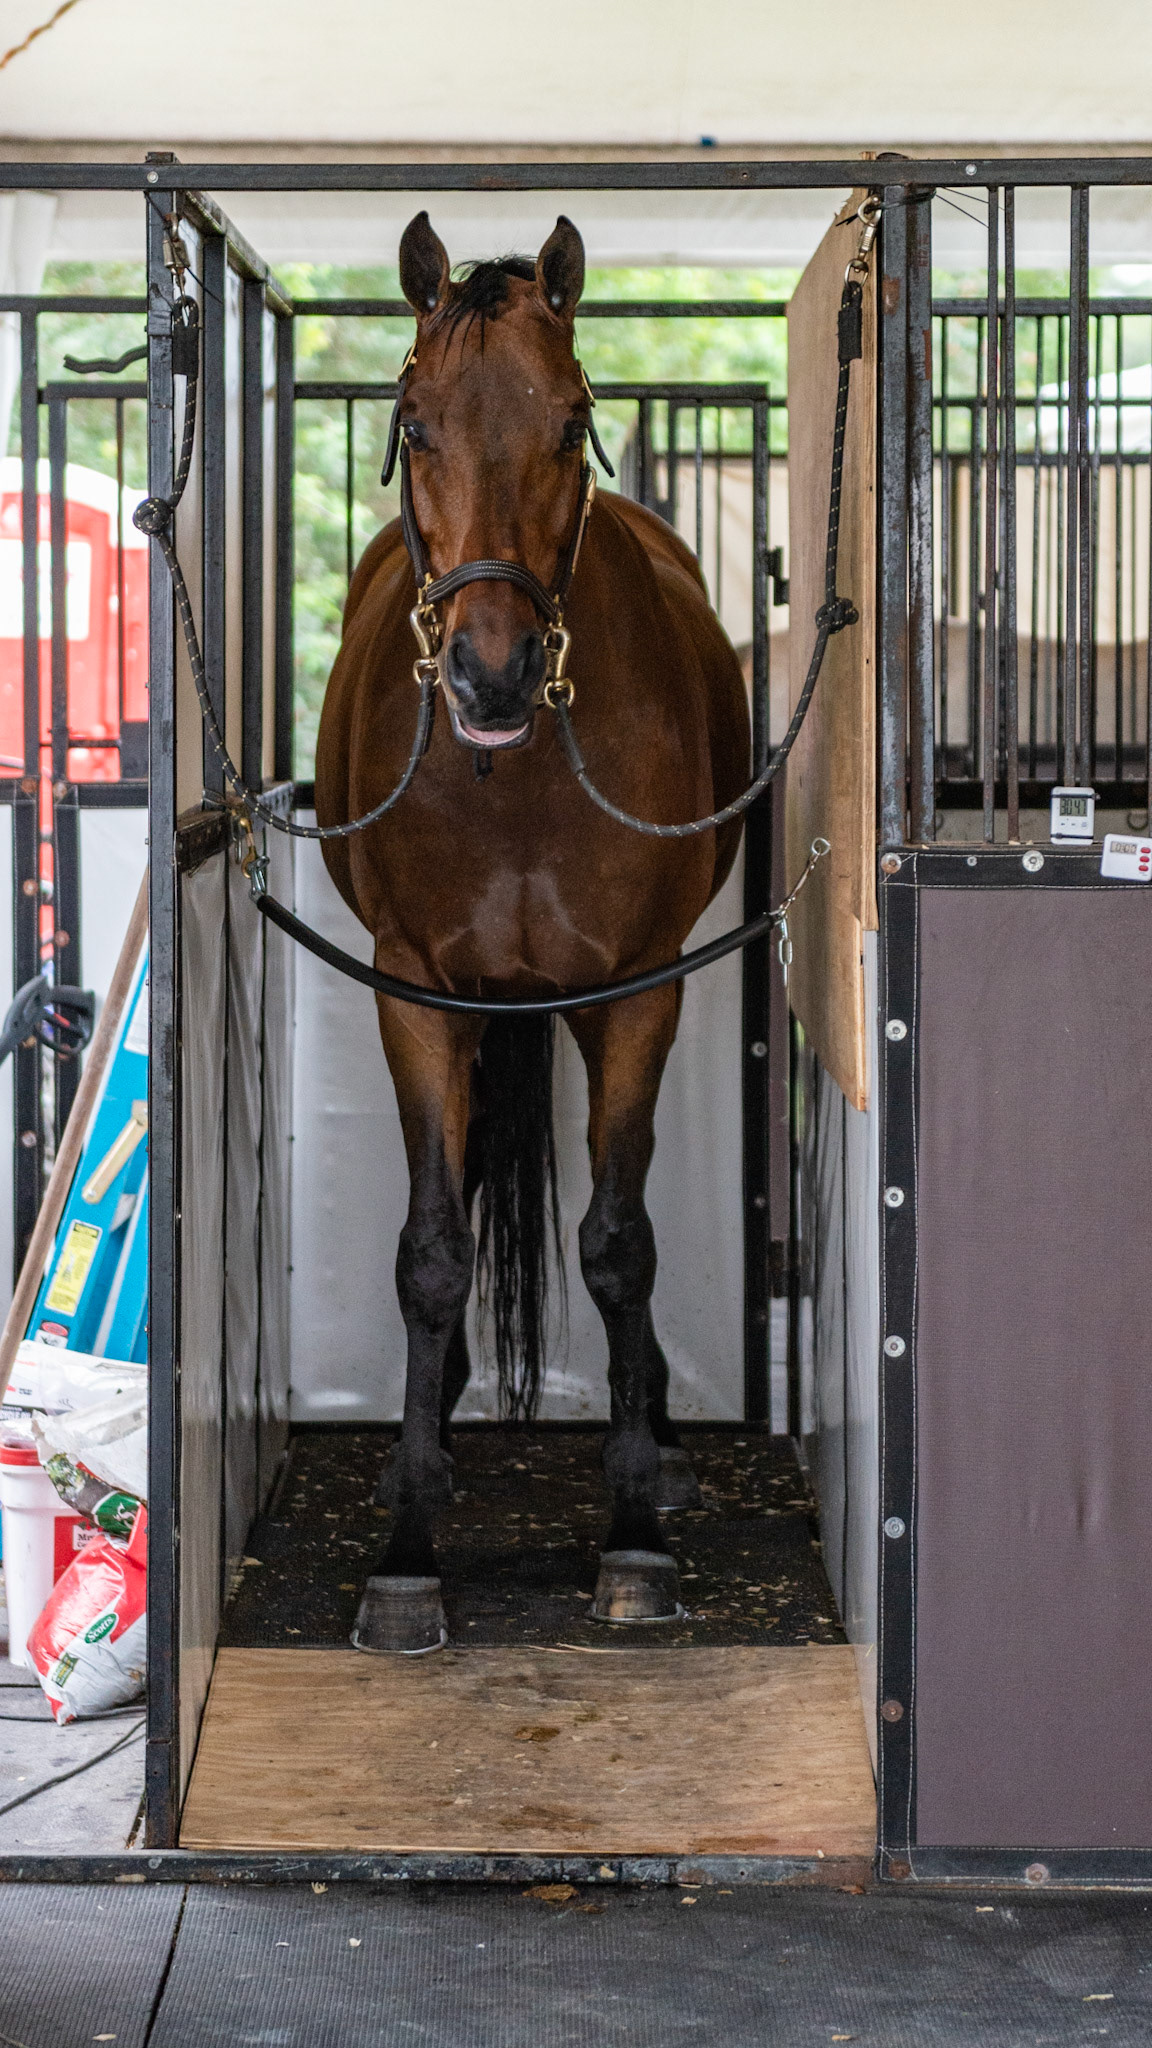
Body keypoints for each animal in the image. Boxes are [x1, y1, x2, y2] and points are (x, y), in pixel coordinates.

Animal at [315, 210, 750, 1652]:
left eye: (574, 421)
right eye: (413, 419)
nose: (492, 673)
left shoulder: (639, 991)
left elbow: (618, 1243)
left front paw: (633, 1534)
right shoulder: (413, 992)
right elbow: (431, 1251)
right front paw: (408, 1542)